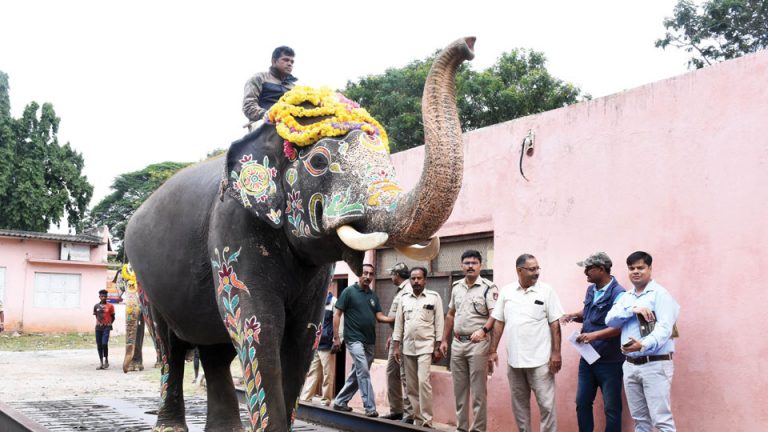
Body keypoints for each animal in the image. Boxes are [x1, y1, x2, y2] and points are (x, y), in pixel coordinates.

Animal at [126, 38, 474, 432]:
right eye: (319, 161)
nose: (468, 45)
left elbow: (303, 333)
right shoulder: (231, 228)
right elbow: (258, 324)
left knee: (215, 350)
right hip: (144, 280)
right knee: (169, 346)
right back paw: (170, 424)